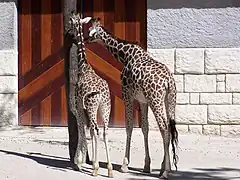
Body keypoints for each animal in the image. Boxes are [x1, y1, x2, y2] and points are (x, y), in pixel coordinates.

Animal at [66, 12, 113, 177]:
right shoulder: (87, 108)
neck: (83, 66)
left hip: (93, 107)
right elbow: (90, 131)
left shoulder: (79, 104)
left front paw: (79, 162)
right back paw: (110, 169)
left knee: (97, 130)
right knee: (104, 131)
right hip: (105, 107)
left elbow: (82, 128)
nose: (68, 33)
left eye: (71, 23)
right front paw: (89, 161)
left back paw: (96, 169)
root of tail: (101, 92)